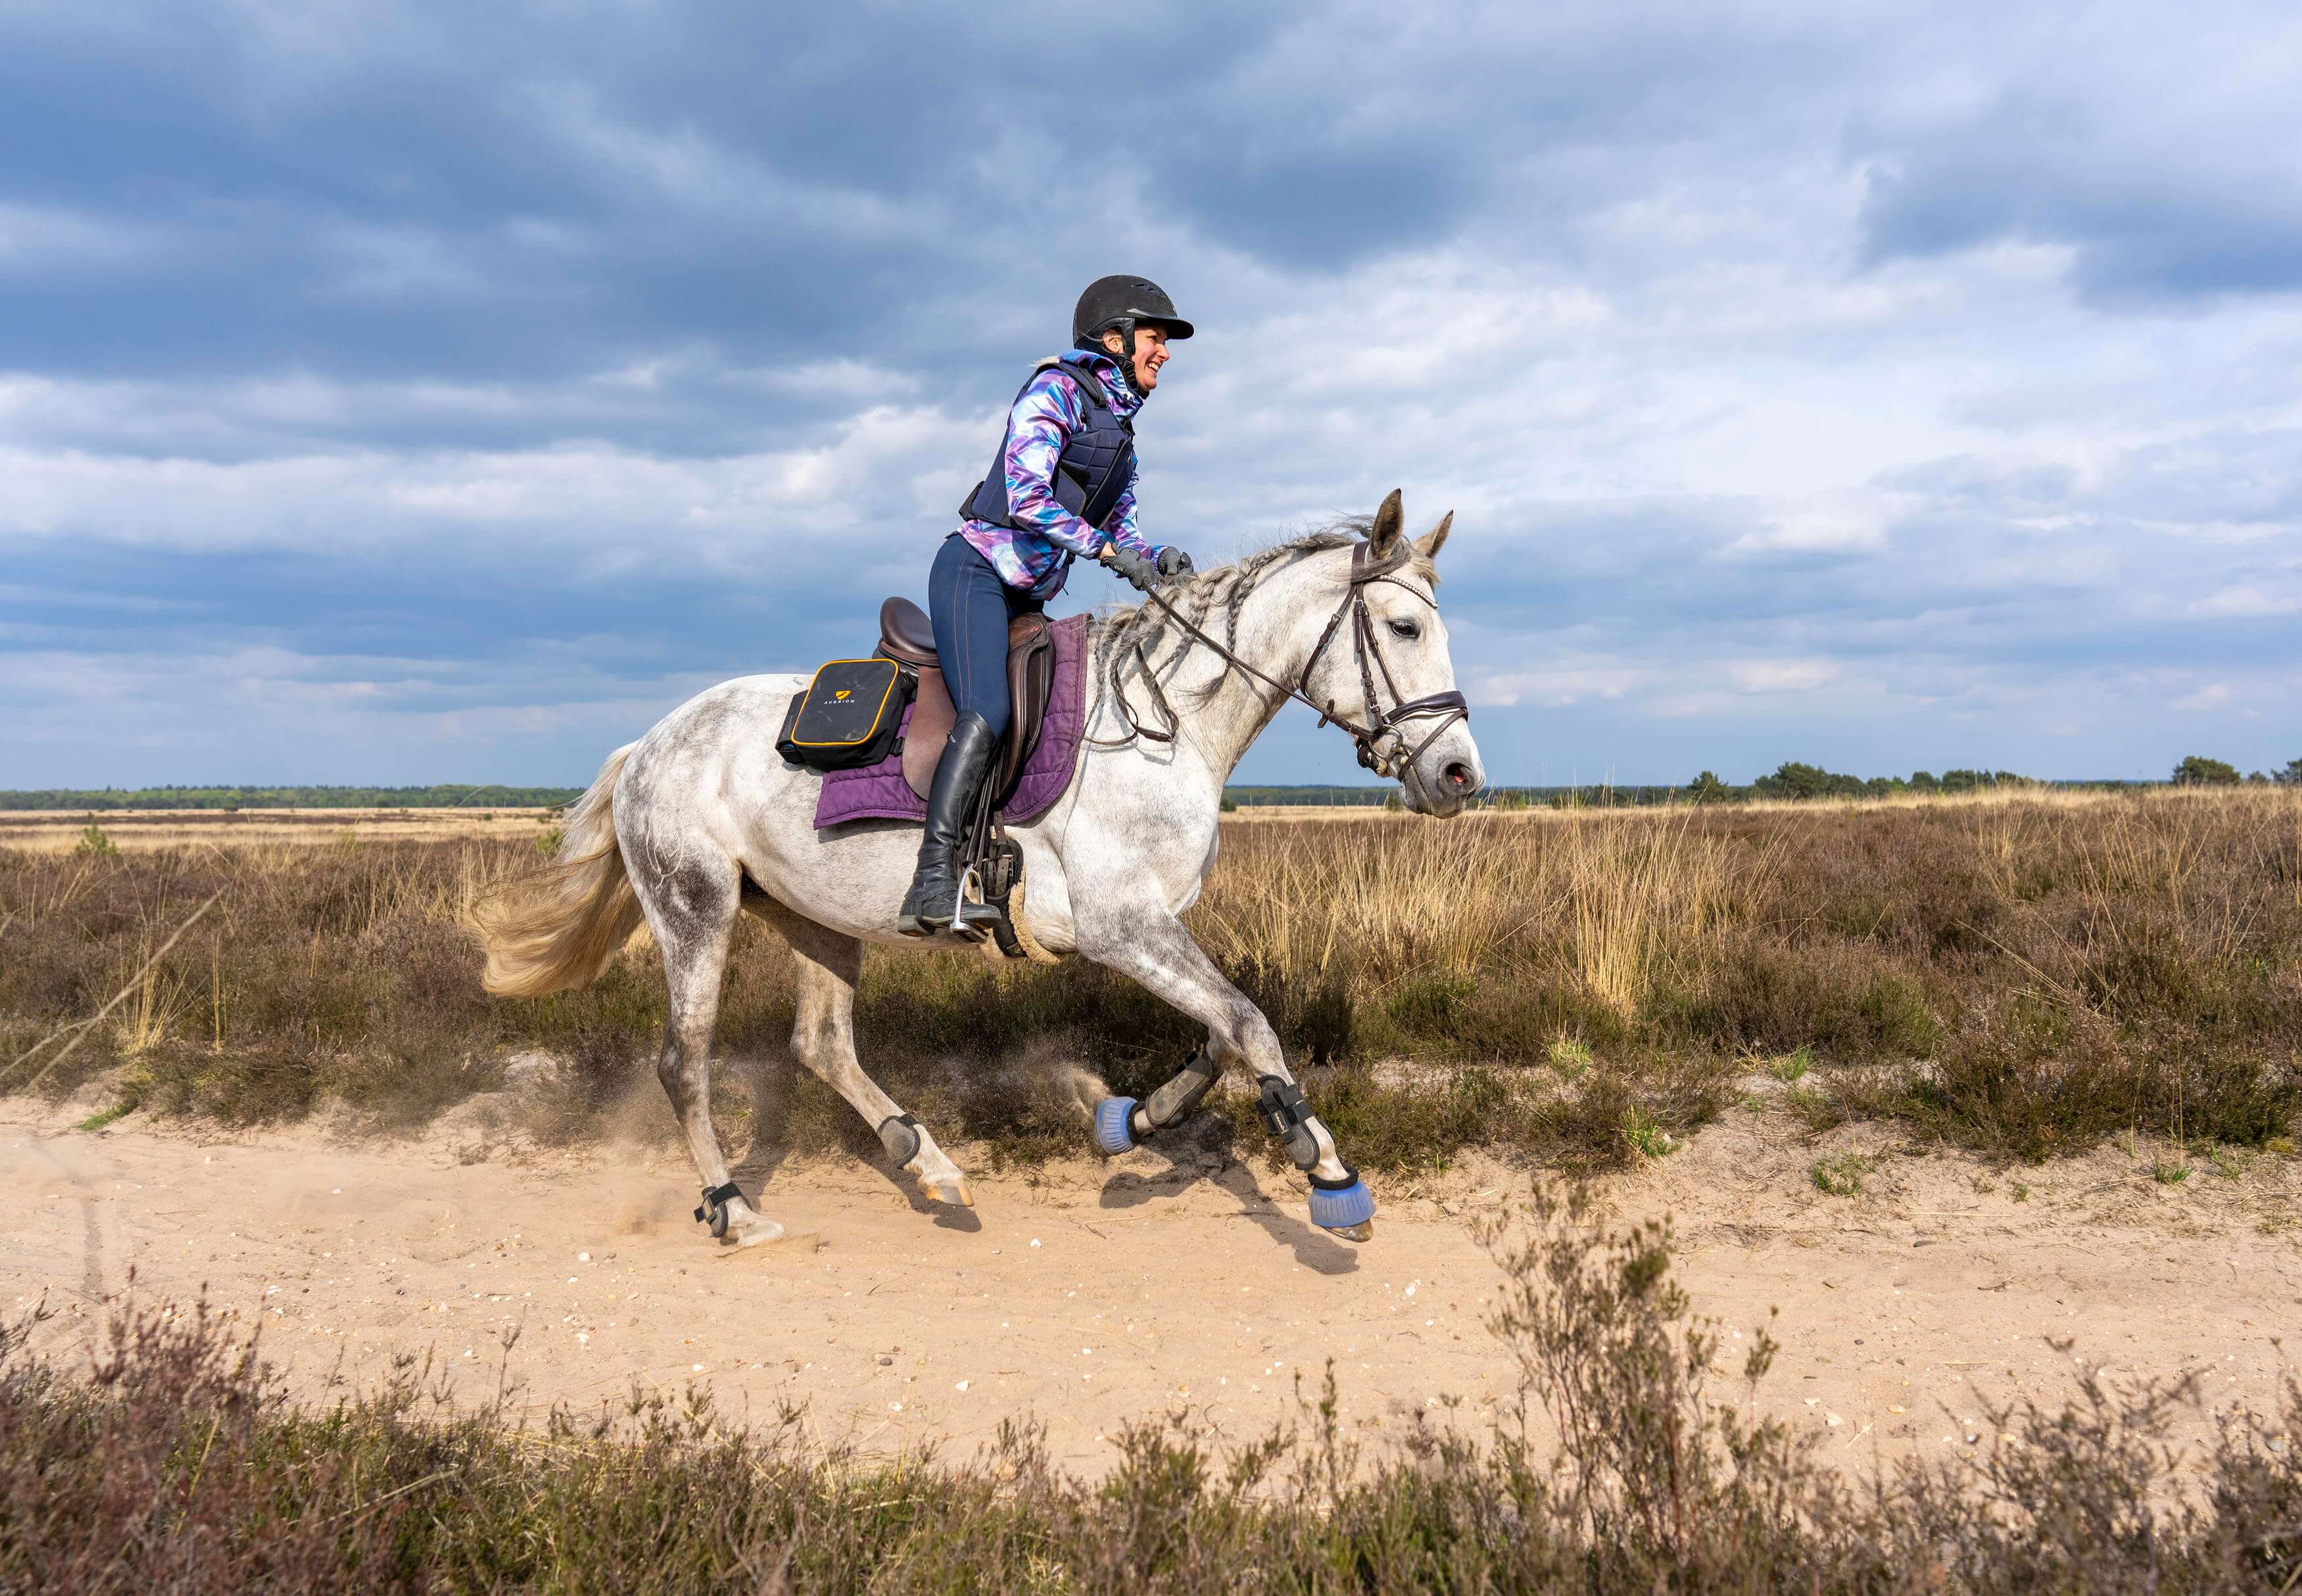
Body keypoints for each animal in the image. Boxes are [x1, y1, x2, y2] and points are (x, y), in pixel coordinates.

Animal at [476, 487, 1482, 1251]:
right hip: (696, 910)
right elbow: (1247, 1022)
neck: (1167, 723)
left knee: (821, 1043)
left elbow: (1221, 1035)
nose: (1458, 776)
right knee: (684, 1061)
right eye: (1402, 627)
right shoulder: (1120, 925)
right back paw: (736, 1211)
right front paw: (1330, 1174)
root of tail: (646, 744)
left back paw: (929, 1164)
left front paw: (1133, 1121)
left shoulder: (1154, 923)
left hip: (816, 917)